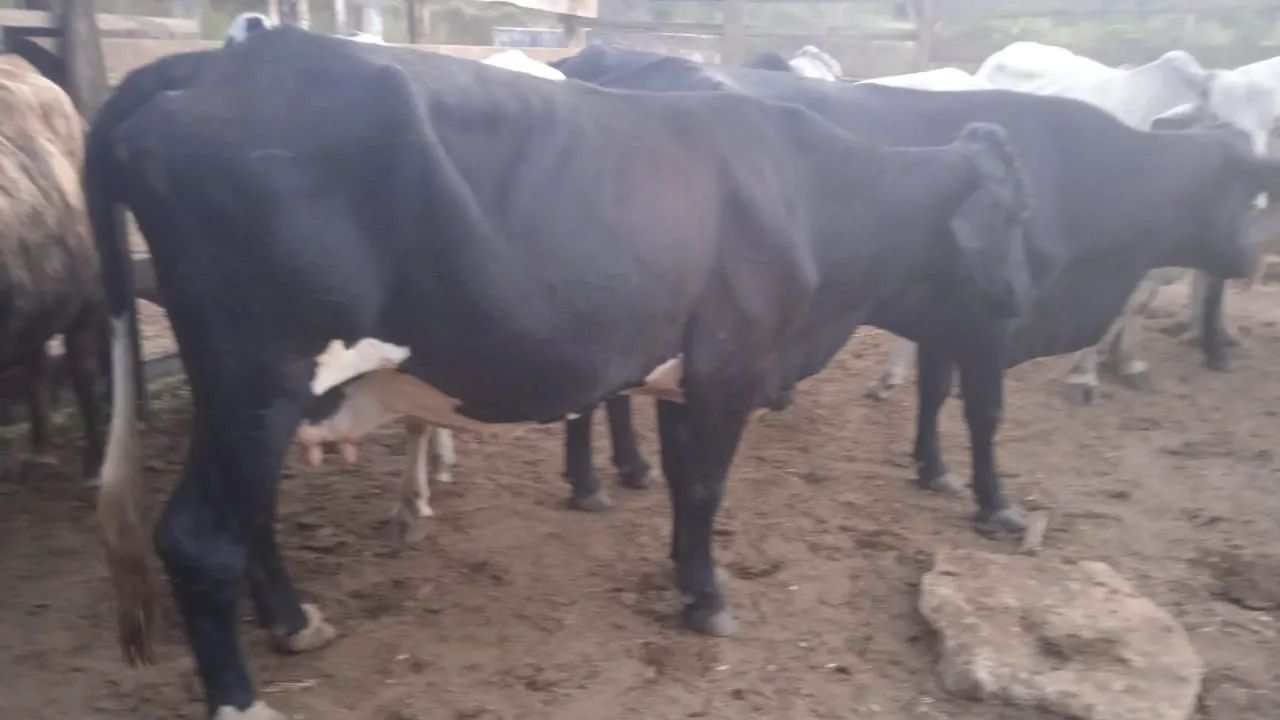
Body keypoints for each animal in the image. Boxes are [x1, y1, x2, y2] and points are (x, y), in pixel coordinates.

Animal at [87, 27, 1031, 717]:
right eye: (1017, 214)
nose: (1027, 293)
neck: (813, 196)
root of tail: (220, 60)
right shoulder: (732, 366)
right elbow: (706, 488)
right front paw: (710, 600)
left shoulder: (685, 371)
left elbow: (685, 483)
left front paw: (686, 582)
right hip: (259, 371)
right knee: (201, 535)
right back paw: (243, 699)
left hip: (252, 391)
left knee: (250, 514)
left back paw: (295, 624)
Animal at [552, 44, 1276, 547]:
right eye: (1244, 189)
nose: (1250, 257)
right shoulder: (990, 323)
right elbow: (984, 413)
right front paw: (995, 503)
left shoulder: (949, 315)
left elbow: (933, 391)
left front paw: (932, 469)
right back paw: (590, 480)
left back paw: (629, 466)